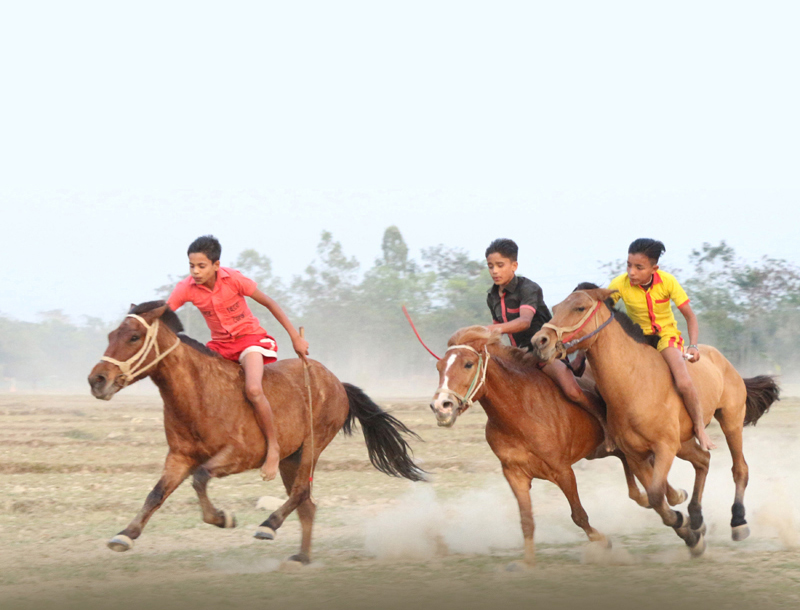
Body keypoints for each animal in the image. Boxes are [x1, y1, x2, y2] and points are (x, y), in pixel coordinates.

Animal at [87, 302, 424, 564]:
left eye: (134, 336)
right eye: (110, 335)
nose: (97, 380)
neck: (200, 394)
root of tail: (338, 383)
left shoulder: (239, 455)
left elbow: (200, 478)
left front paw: (223, 518)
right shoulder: (180, 457)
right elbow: (156, 493)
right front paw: (125, 535)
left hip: (312, 446)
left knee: (301, 493)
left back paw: (269, 525)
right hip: (291, 457)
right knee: (307, 504)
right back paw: (302, 557)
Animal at [432, 326, 688, 564]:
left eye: (468, 364)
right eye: (439, 367)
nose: (441, 406)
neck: (520, 411)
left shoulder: (562, 471)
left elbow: (578, 515)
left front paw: (602, 541)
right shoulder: (514, 474)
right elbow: (527, 521)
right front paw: (528, 563)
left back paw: (675, 498)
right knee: (633, 474)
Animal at [536, 290, 780, 556]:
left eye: (579, 308)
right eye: (555, 307)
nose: (539, 341)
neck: (635, 383)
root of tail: (723, 360)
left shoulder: (664, 448)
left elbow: (655, 494)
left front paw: (688, 532)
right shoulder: (635, 455)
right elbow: (656, 498)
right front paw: (689, 531)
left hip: (730, 420)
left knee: (739, 469)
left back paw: (738, 521)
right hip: (685, 442)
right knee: (703, 460)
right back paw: (696, 517)